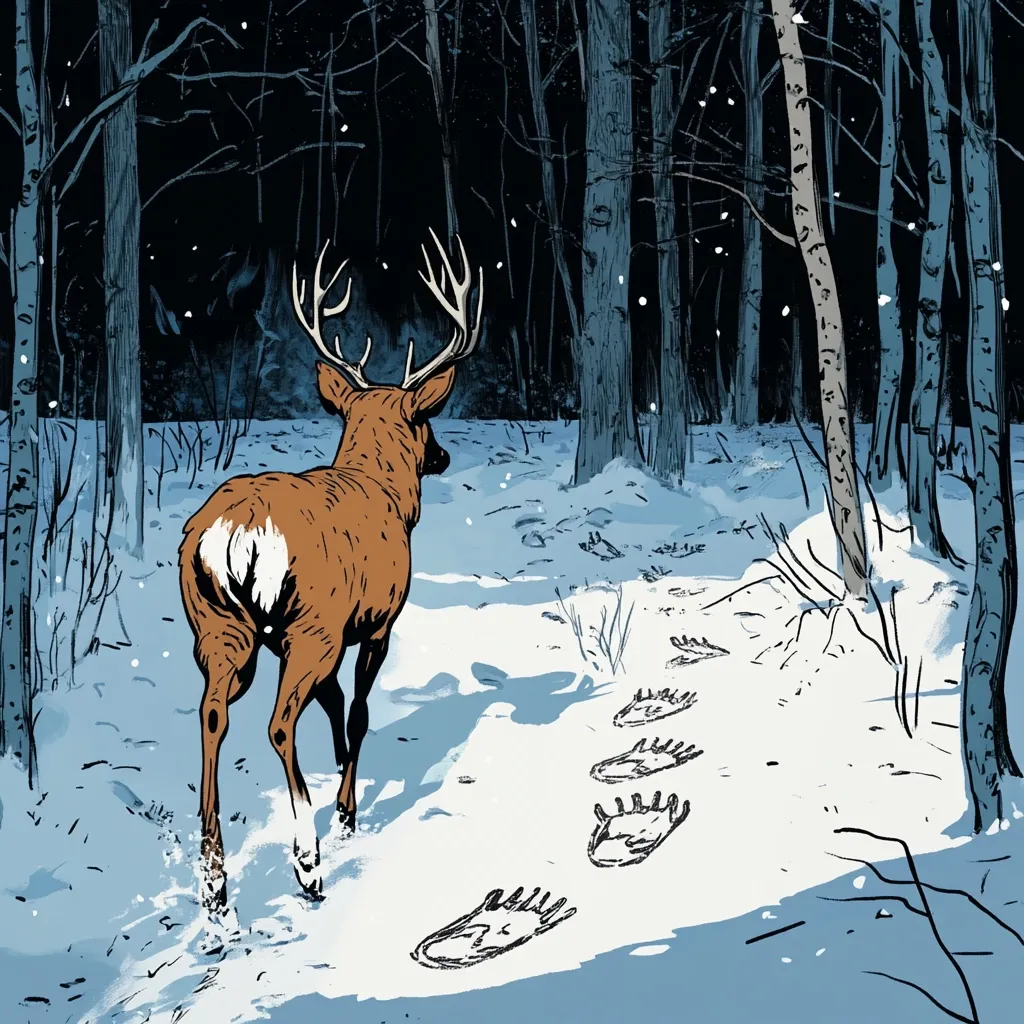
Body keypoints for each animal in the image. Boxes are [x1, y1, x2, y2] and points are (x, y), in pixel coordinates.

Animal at [178, 230, 483, 910]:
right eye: (425, 418)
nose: (444, 456)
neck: (387, 492)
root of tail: (238, 528)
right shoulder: (374, 619)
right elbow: (360, 707)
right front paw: (345, 812)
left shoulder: (330, 630)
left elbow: (335, 700)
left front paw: (341, 779)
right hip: (306, 625)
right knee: (277, 723)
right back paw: (307, 861)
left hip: (217, 624)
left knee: (212, 715)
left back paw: (214, 881)